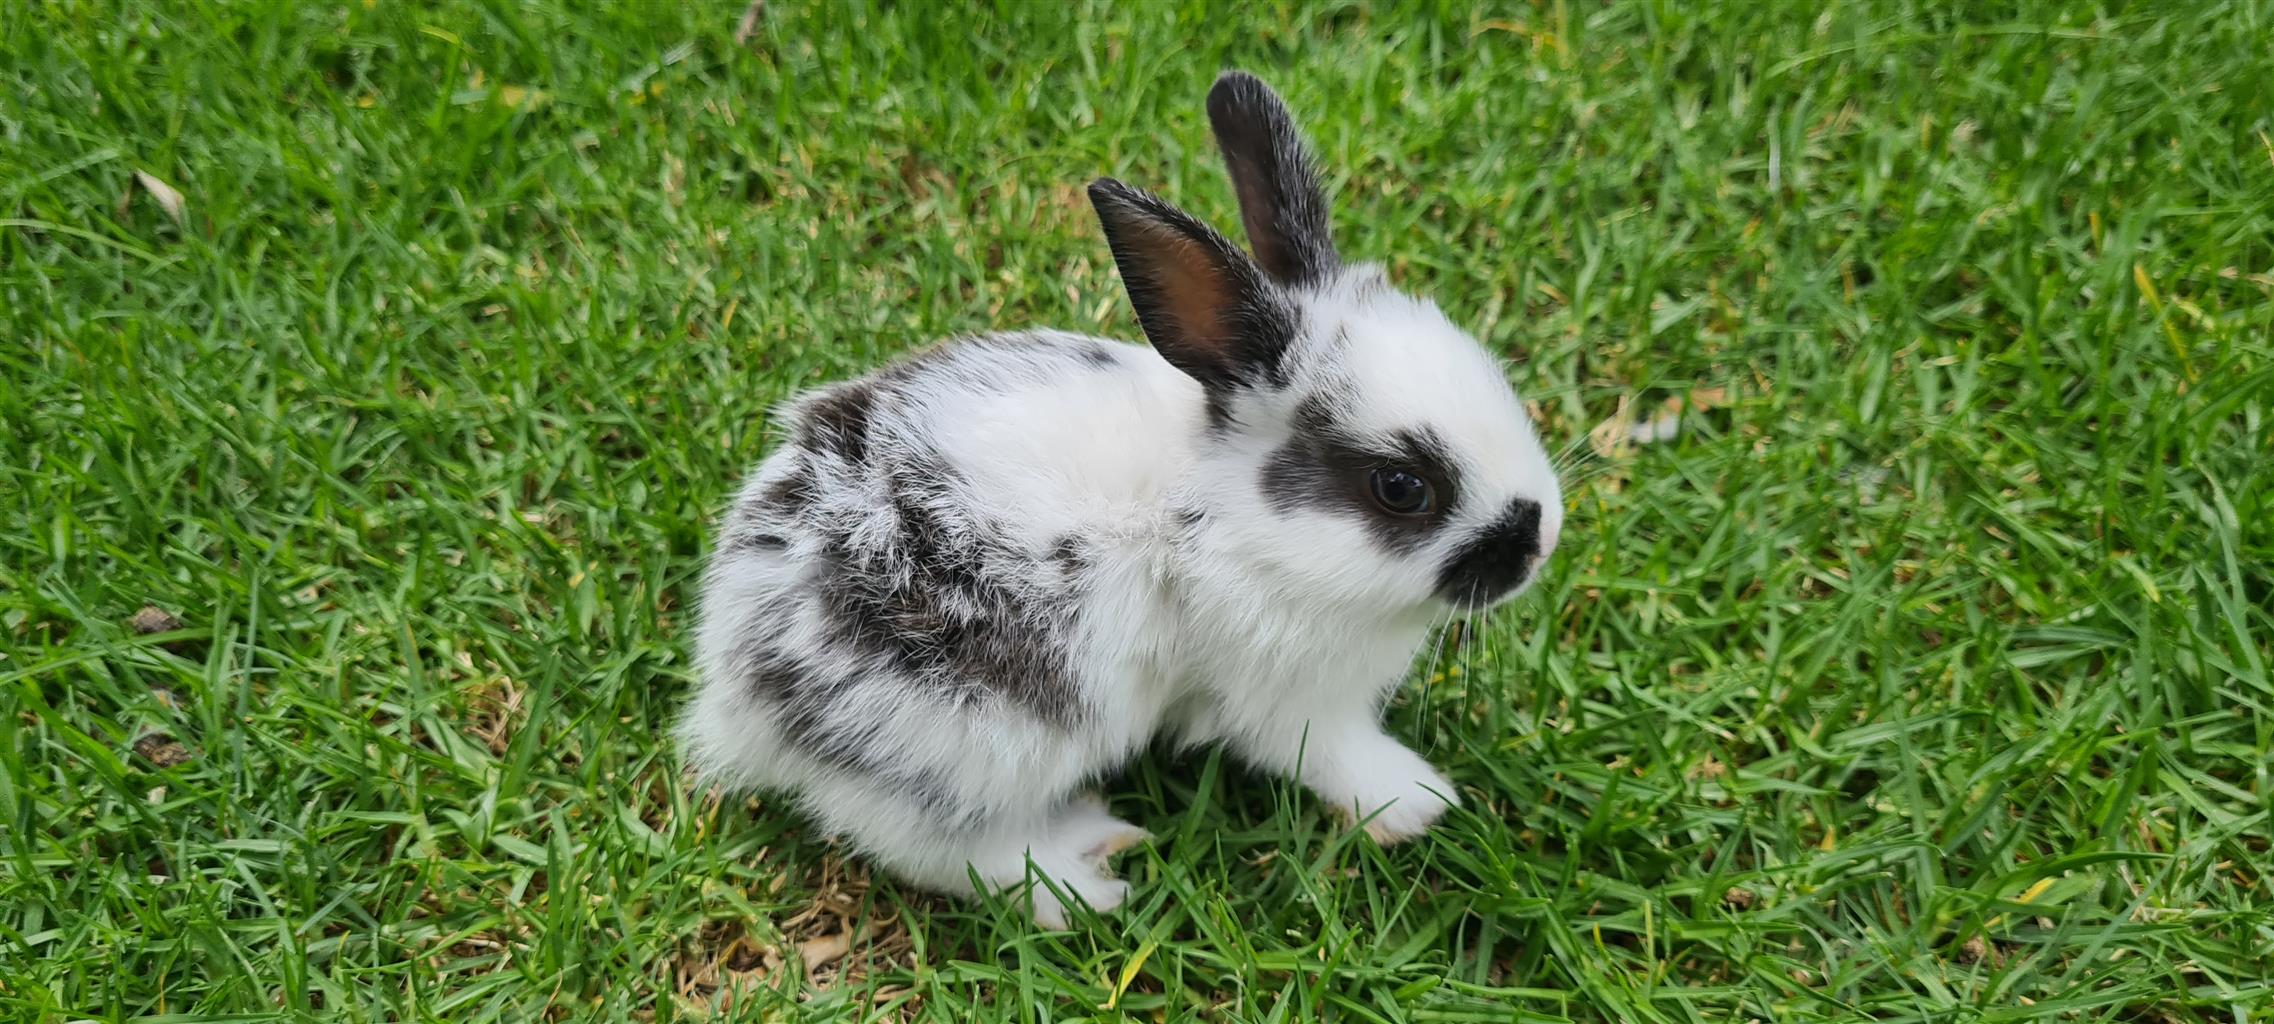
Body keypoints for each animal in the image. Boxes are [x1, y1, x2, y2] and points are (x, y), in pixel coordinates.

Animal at [677, 67, 1564, 923]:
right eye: (1402, 488)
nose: (1538, 541)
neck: (1229, 517)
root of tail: (740, 680)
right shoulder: (1285, 696)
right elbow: (1330, 753)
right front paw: (1419, 801)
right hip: (978, 743)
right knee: (940, 847)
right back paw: (1081, 874)